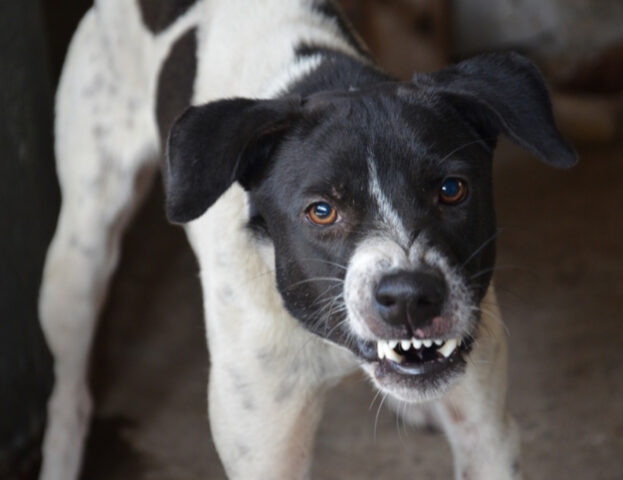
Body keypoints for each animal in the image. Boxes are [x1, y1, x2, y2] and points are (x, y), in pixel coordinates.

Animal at [37, 0, 576, 480]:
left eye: (451, 190)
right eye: (321, 211)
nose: (410, 297)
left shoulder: (487, 435)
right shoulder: (265, 453)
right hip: (79, 256)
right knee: (69, 393)